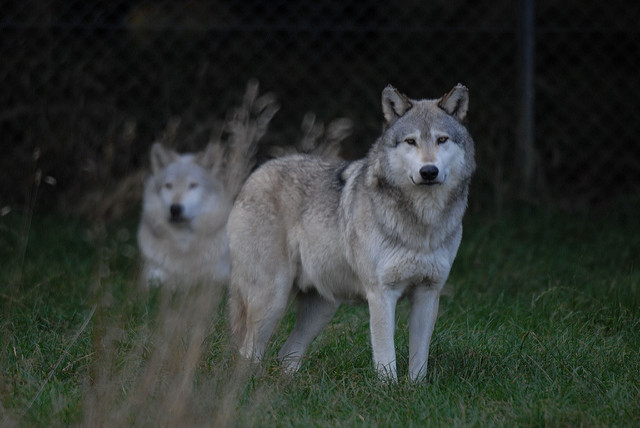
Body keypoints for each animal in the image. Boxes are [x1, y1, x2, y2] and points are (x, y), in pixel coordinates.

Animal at [137, 80, 279, 289]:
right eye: (168, 186)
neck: (184, 246)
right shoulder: (150, 276)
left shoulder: (220, 278)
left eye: (193, 185)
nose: (175, 209)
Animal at [227, 84, 475, 381]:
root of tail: (254, 175)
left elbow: (419, 364)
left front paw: (415, 390)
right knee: (247, 354)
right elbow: (386, 359)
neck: (422, 223)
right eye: (411, 141)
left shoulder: (428, 293)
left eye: (441, 140)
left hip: (322, 308)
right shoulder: (381, 295)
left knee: (286, 354)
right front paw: (389, 389)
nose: (429, 171)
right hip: (272, 301)